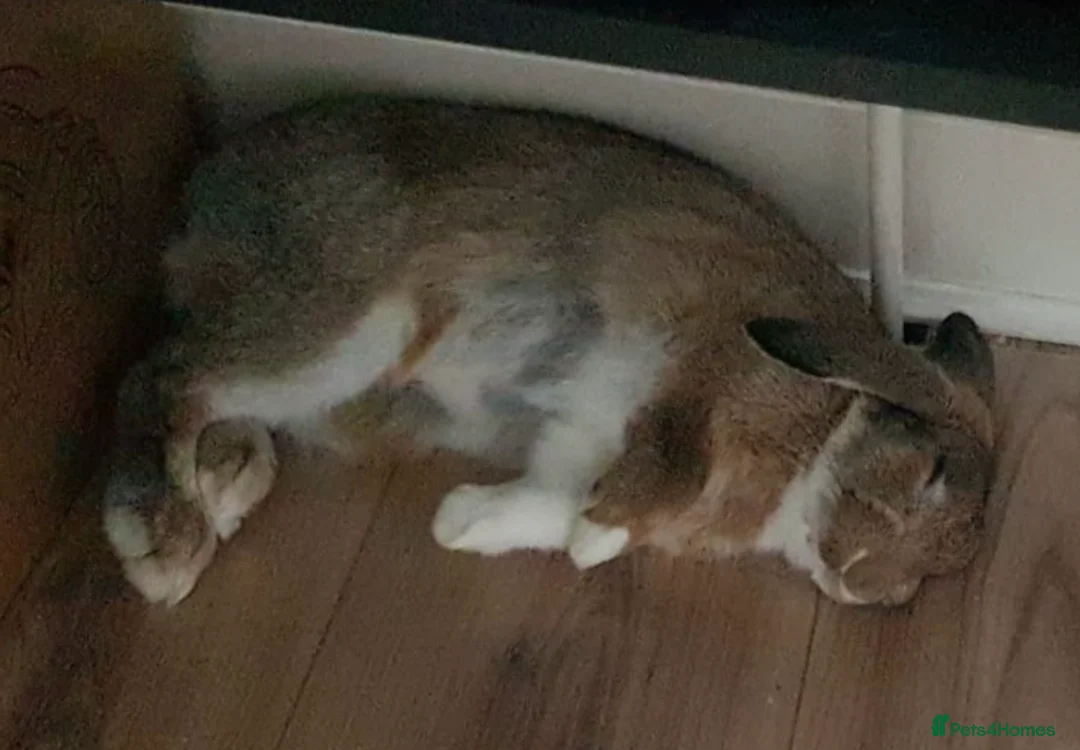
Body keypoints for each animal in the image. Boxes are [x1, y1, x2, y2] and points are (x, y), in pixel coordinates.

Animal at [101, 93, 996, 608]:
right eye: (931, 471)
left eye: (931, 577)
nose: (858, 582)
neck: (825, 427)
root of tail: (201, 194)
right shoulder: (695, 352)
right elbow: (672, 460)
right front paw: (594, 535)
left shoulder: (582, 440)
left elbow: (555, 500)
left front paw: (469, 525)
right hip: (351, 324)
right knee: (165, 375)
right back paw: (161, 540)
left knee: (198, 386)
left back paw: (221, 484)